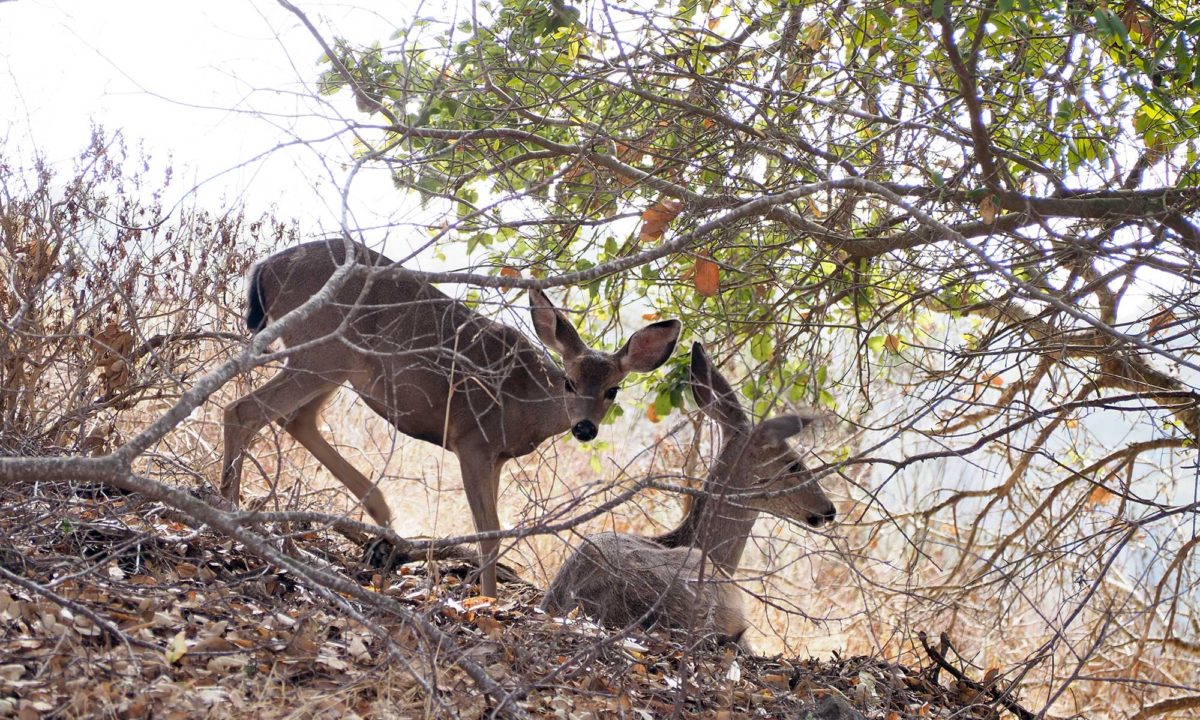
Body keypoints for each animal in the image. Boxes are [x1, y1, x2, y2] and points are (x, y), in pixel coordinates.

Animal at [220, 238, 681, 592]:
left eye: (612, 390)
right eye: (568, 382)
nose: (585, 427)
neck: (523, 400)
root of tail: (265, 267)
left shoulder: (497, 456)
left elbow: (494, 529)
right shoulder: (472, 439)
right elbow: (488, 531)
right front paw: (487, 599)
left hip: (335, 364)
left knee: (295, 418)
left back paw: (381, 515)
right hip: (322, 349)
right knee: (243, 409)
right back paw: (230, 512)